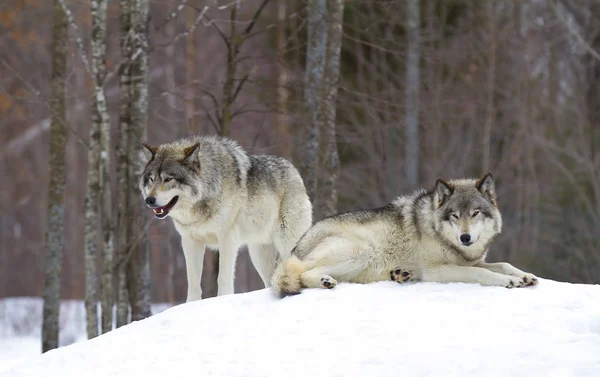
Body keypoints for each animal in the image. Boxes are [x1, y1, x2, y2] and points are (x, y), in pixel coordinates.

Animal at [138, 135, 312, 300]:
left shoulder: (228, 239)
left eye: (168, 179)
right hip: (258, 254)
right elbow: (193, 283)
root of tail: (295, 171)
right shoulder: (190, 242)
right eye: (151, 179)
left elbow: (223, 279)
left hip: (287, 243)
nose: (149, 200)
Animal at [272, 171, 540, 296]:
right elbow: (480, 273)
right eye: (454, 215)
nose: (465, 238)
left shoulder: (474, 260)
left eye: (475, 213)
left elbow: (503, 264)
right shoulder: (438, 270)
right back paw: (324, 281)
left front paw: (525, 276)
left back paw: (400, 274)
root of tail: (297, 246)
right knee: (303, 275)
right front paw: (508, 281)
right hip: (361, 252)